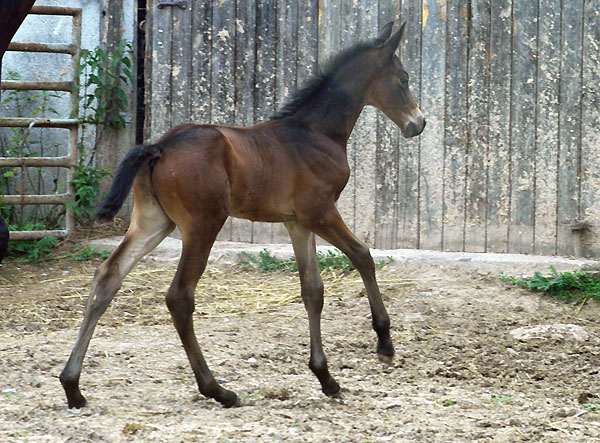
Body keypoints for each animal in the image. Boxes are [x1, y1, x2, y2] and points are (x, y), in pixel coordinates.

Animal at [59, 20, 426, 410]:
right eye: (403, 78)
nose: (418, 123)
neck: (314, 133)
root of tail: (159, 146)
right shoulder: (320, 212)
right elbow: (363, 256)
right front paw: (384, 344)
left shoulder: (297, 222)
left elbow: (312, 289)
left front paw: (325, 377)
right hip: (203, 225)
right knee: (179, 296)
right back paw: (217, 389)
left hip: (153, 223)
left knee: (107, 277)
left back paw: (72, 385)